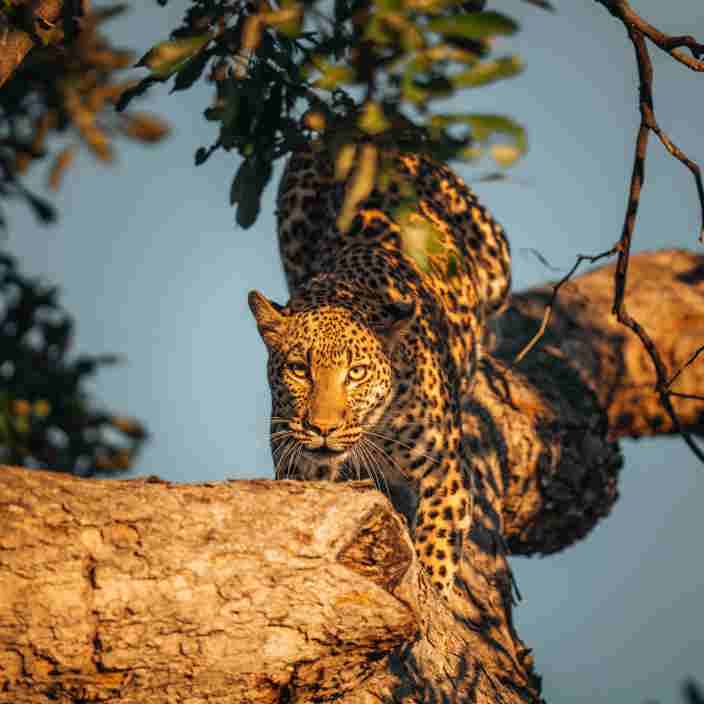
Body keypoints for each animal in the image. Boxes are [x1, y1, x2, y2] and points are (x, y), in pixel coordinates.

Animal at [248, 139, 511, 596]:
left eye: (356, 373)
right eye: (299, 369)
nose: (323, 428)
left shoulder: (448, 475)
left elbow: (437, 549)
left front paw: (433, 594)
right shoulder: (298, 467)